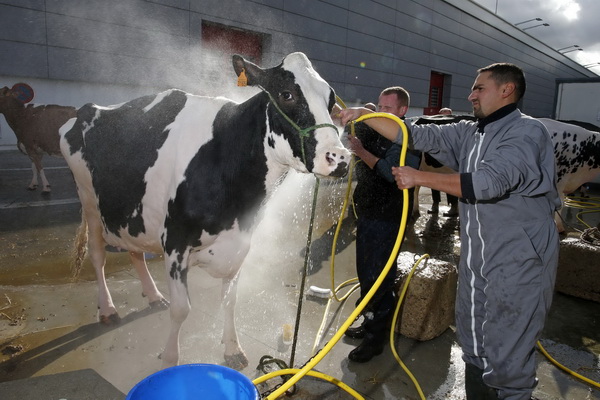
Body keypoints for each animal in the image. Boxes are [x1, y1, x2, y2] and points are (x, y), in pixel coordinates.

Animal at [58, 52, 350, 368]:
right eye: (287, 94)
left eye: (331, 100)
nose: (340, 158)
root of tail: (84, 111)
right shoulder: (175, 240)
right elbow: (181, 309)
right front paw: (169, 359)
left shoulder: (240, 243)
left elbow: (230, 300)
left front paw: (233, 349)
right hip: (88, 200)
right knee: (97, 256)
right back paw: (108, 309)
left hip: (133, 214)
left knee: (135, 251)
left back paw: (153, 295)